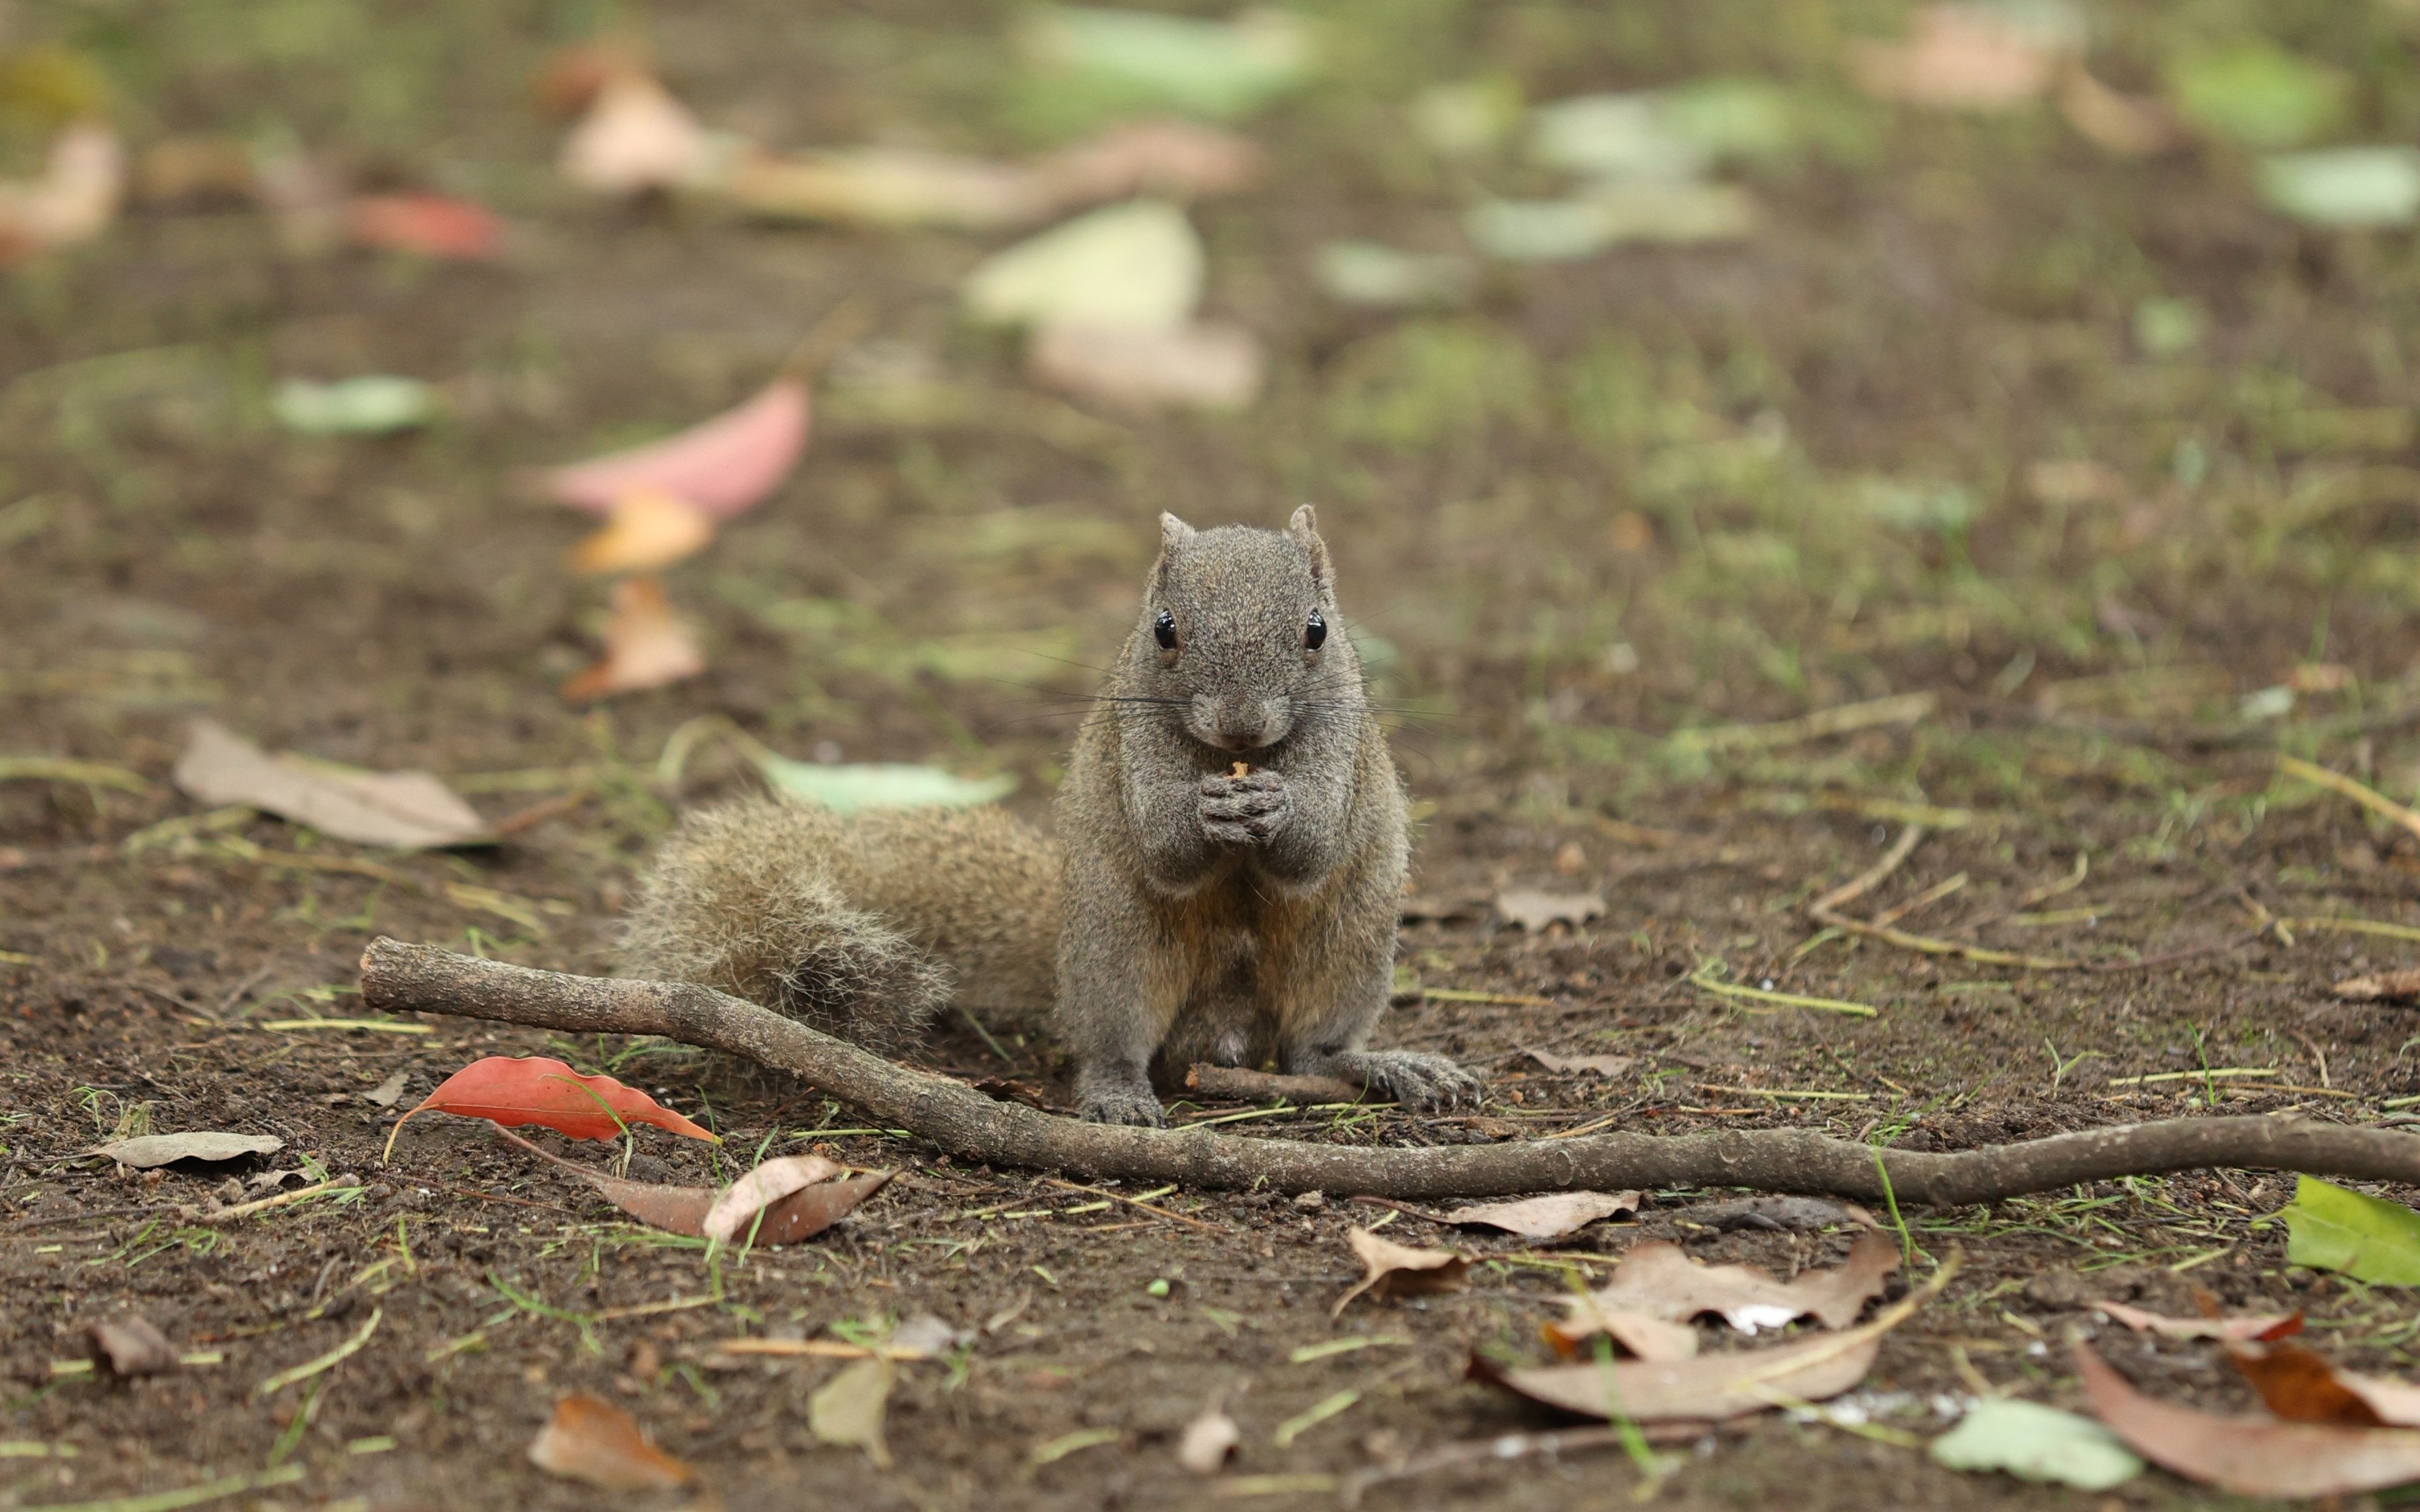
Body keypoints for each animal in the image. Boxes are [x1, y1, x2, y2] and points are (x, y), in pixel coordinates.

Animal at [614, 503, 1481, 1122]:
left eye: (1317, 630)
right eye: (1164, 630)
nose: (1240, 726)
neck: (1232, 759)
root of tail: (1223, 1031)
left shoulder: (1342, 746)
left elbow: (1313, 846)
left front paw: (1273, 803)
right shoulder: (1135, 747)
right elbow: (1165, 848)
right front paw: (1206, 812)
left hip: (1345, 950)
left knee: (1310, 1054)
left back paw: (1380, 1062)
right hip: (1117, 956)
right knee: (1116, 1043)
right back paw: (1116, 1092)